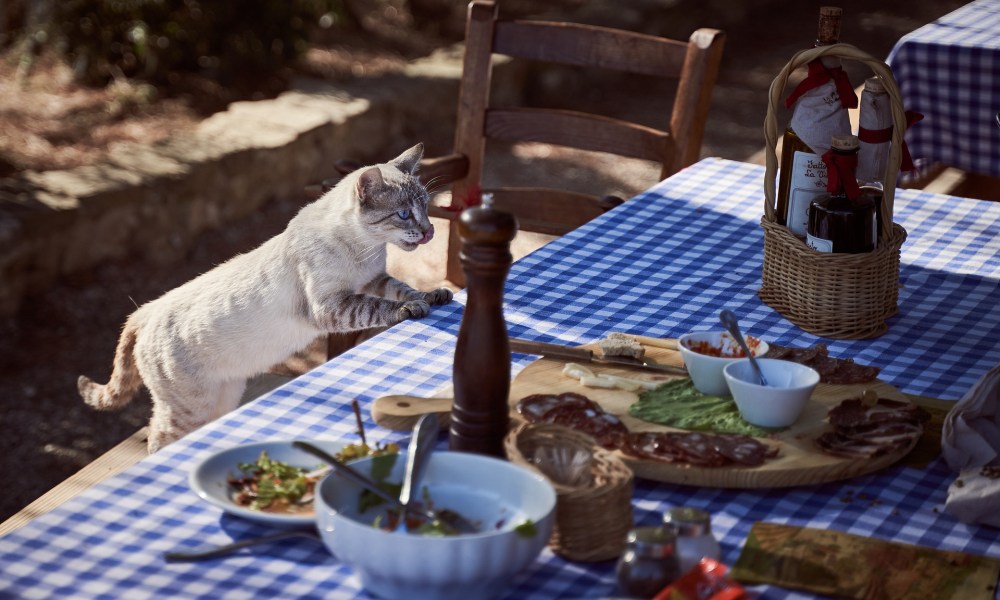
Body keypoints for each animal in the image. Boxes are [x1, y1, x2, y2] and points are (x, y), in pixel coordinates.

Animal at [80, 144, 452, 450]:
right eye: (403, 214)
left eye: (427, 207)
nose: (430, 231)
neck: (365, 249)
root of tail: (147, 309)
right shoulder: (331, 305)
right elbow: (382, 306)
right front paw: (411, 308)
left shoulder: (373, 279)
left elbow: (401, 287)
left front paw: (434, 294)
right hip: (190, 407)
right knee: (157, 439)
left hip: (224, 396)